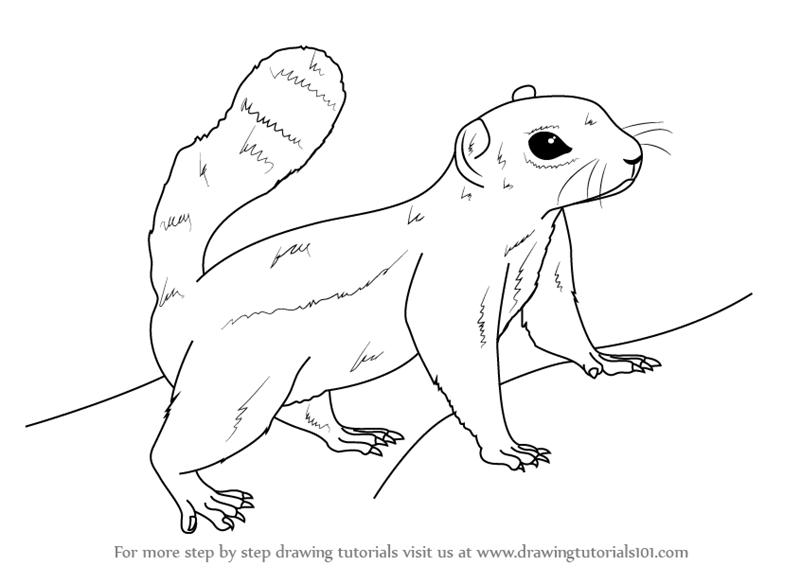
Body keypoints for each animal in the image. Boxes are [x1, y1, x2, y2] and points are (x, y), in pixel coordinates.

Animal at [148, 46, 660, 534]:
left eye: (602, 112)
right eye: (547, 143)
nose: (634, 155)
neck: (522, 227)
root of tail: (183, 296)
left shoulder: (553, 258)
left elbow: (560, 324)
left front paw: (609, 361)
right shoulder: (451, 280)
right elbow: (466, 368)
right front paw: (505, 448)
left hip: (300, 376)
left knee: (309, 414)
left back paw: (354, 436)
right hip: (238, 384)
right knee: (171, 450)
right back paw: (202, 498)